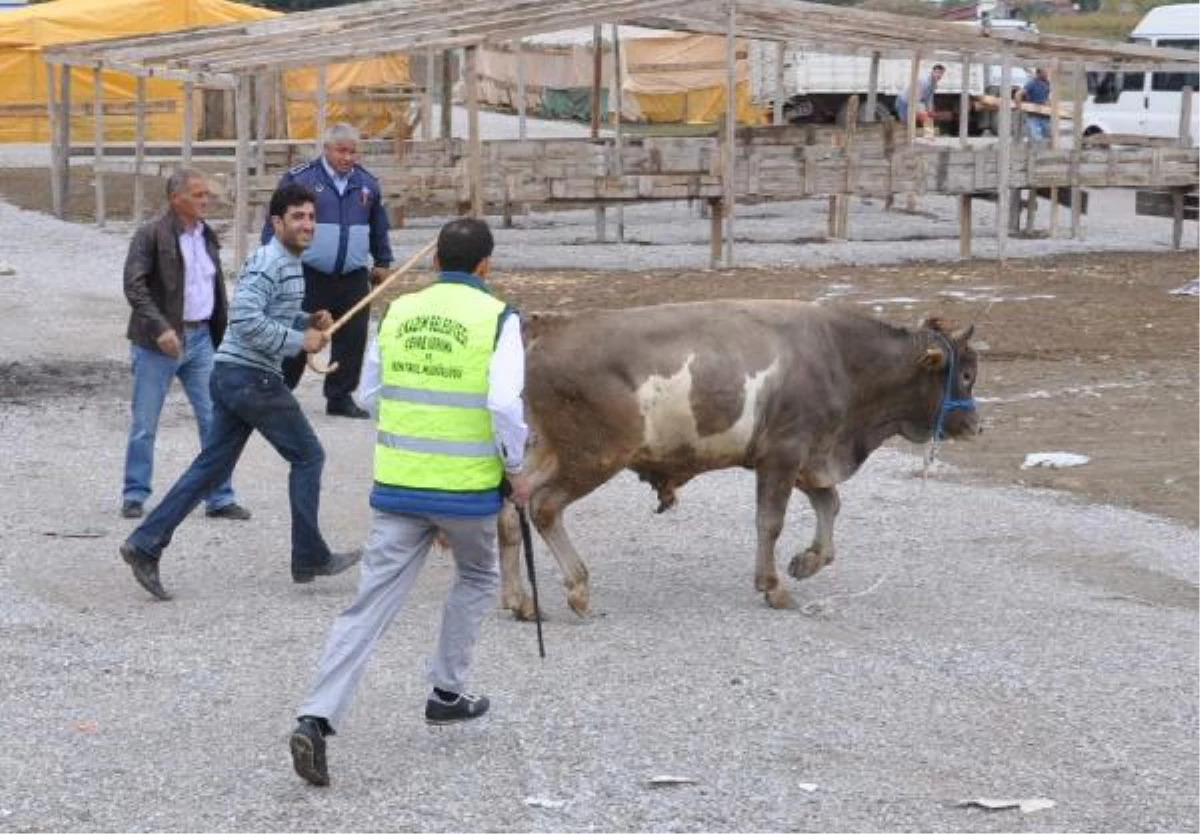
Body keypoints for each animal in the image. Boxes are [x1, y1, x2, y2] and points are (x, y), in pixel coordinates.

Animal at [496, 303, 974, 614]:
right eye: (966, 374)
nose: (974, 424)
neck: (839, 357)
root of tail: (550, 330)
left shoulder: (808, 459)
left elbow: (830, 504)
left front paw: (808, 562)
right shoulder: (783, 456)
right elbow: (771, 522)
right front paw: (773, 586)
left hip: (544, 451)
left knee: (508, 511)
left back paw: (518, 600)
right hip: (593, 457)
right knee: (544, 507)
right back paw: (577, 588)